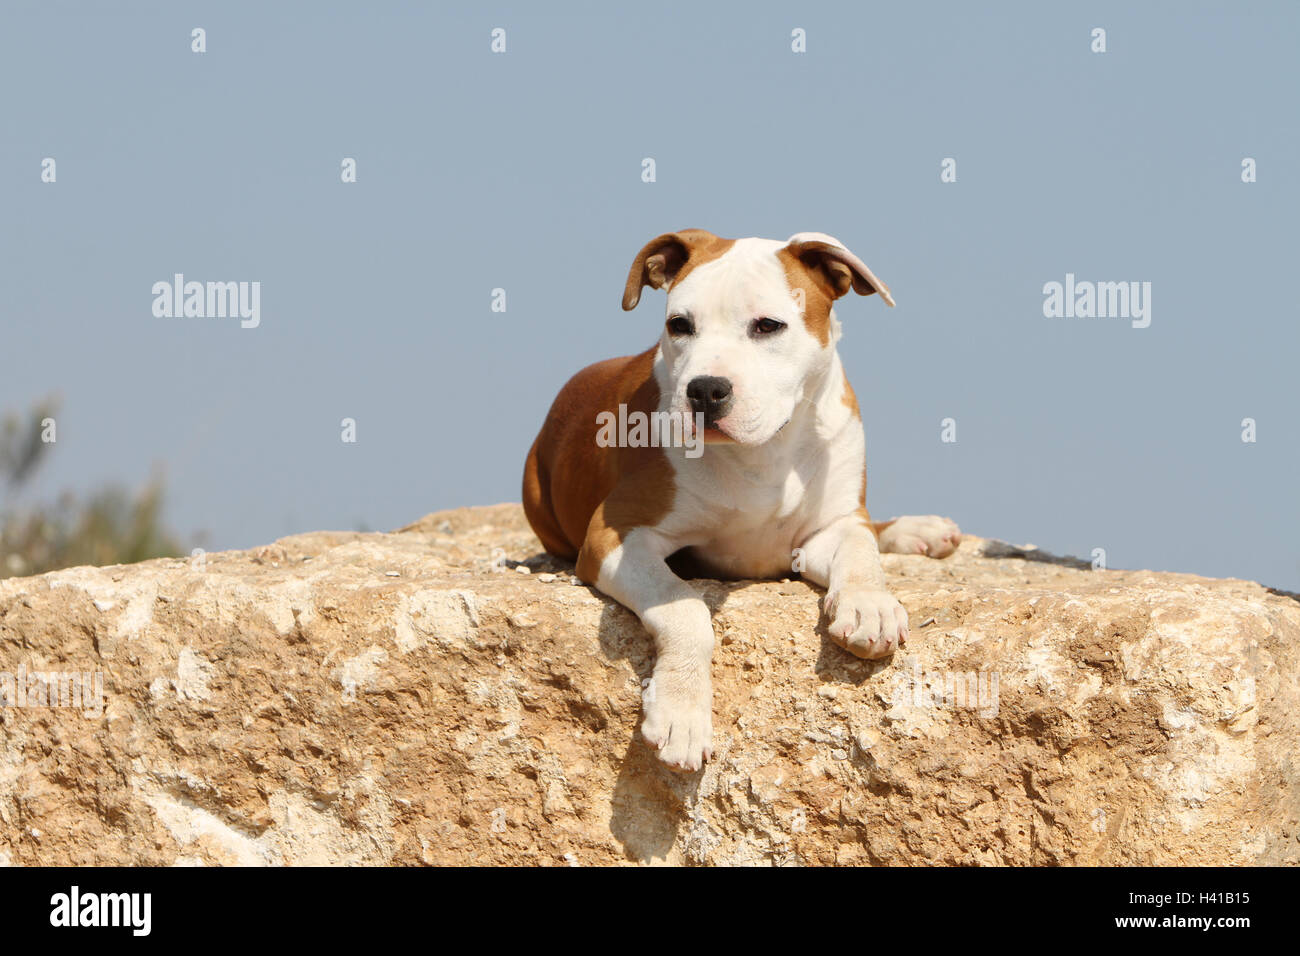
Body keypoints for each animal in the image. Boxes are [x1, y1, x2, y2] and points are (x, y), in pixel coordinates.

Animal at [522, 230, 961, 770]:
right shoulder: (613, 536)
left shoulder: (832, 525)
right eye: (679, 325)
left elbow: (860, 550)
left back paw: (920, 529)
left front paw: (869, 605)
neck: (766, 449)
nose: (706, 390)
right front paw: (682, 714)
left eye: (768, 326)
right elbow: (686, 607)